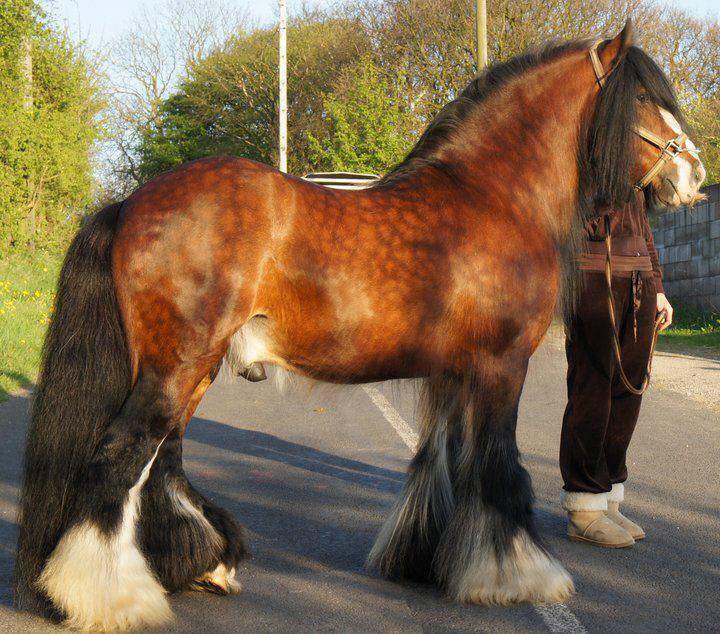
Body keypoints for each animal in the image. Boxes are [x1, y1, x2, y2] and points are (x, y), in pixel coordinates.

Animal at [15, 19, 704, 628]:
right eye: (644, 99)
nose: (694, 173)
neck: (491, 197)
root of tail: (131, 203)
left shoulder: (451, 375)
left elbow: (439, 463)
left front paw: (421, 562)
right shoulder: (502, 366)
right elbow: (498, 469)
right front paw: (520, 577)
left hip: (191, 368)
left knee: (163, 462)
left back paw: (202, 566)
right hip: (178, 364)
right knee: (122, 458)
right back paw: (111, 599)